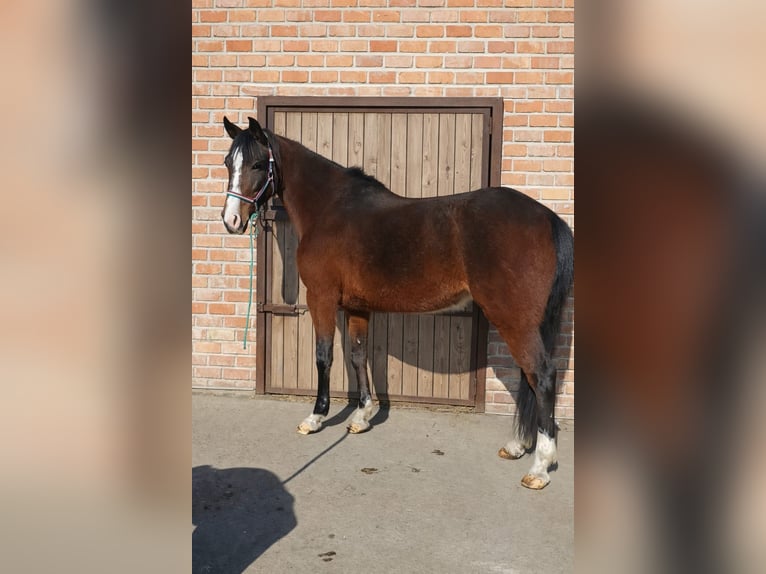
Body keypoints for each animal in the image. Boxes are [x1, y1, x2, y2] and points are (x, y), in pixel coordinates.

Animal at [220, 116, 574, 490]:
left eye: (258, 164)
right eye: (228, 163)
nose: (231, 221)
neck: (329, 210)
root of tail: (548, 218)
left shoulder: (321, 298)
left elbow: (324, 356)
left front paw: (316, 417)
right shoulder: (357, 307)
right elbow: (358, 355)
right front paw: (361, 416)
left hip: (512, 318)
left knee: (541, 375)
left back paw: (539, 467)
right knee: (529, 377)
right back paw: (518, 446)